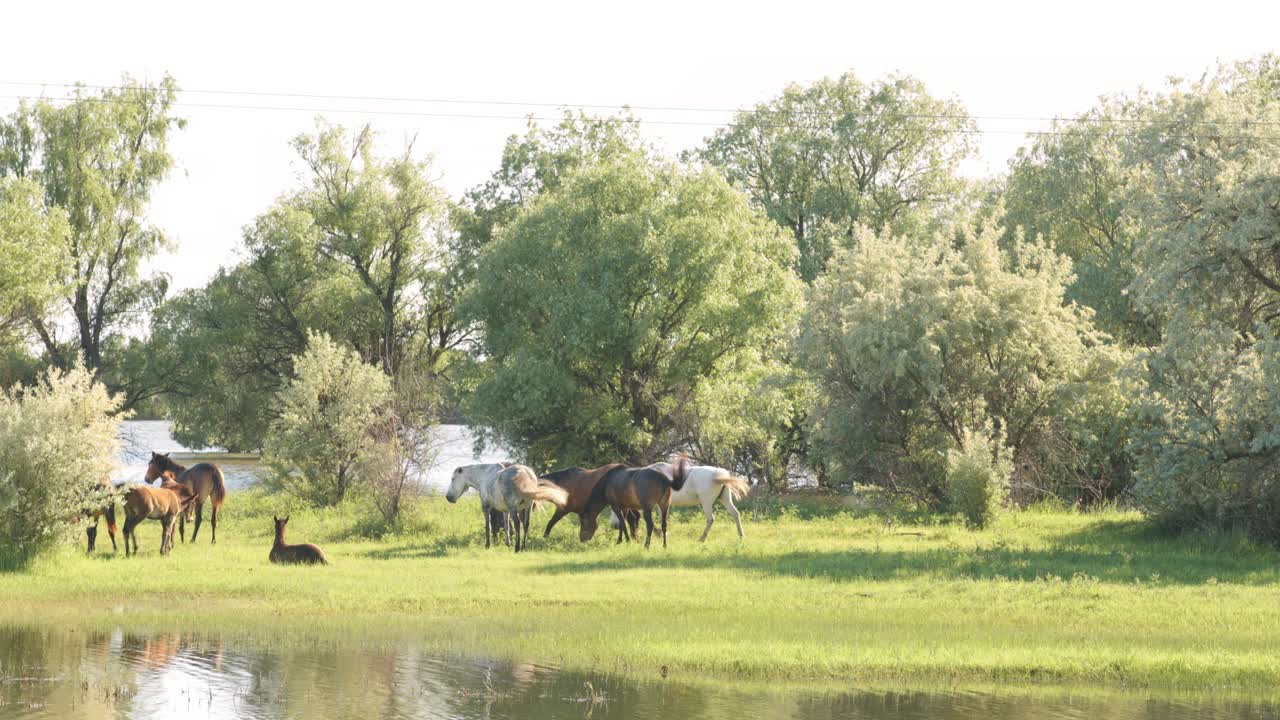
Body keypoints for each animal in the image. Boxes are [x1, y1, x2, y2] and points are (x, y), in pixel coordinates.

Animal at [609, 462, 750, 541]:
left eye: (617, 510)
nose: (614, 526)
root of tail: (719, 473)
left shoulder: (658, 505)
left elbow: (659, 520)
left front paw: (661, 534)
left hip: (706, 502)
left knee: (710, 519)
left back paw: (702, 538)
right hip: (725, 499)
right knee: (735, 514)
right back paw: (741, 536)